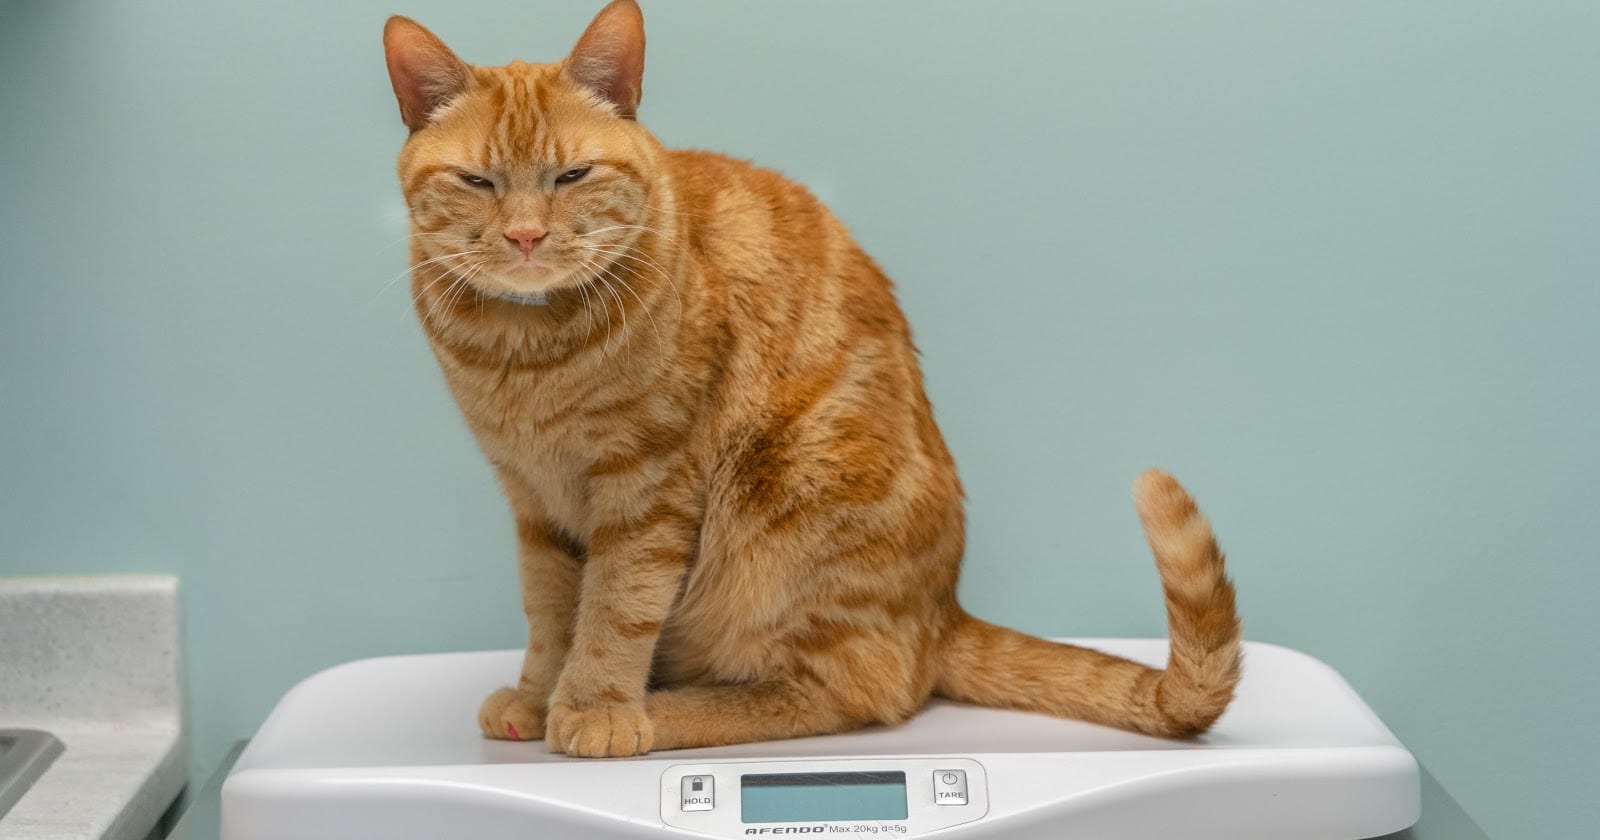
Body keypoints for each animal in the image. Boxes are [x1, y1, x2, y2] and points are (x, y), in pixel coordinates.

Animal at [380, 0, 1241, 755]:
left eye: (572, 175)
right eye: (477, 182)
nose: (526, 236)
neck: (524, 353)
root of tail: (944, 613)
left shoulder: (647, 488)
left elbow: (614, 609)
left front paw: (595, 707)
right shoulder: (535, 499)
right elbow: (552, 610)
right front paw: (538, 695)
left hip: (792, 495)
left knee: (846, 693)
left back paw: (673, 710)